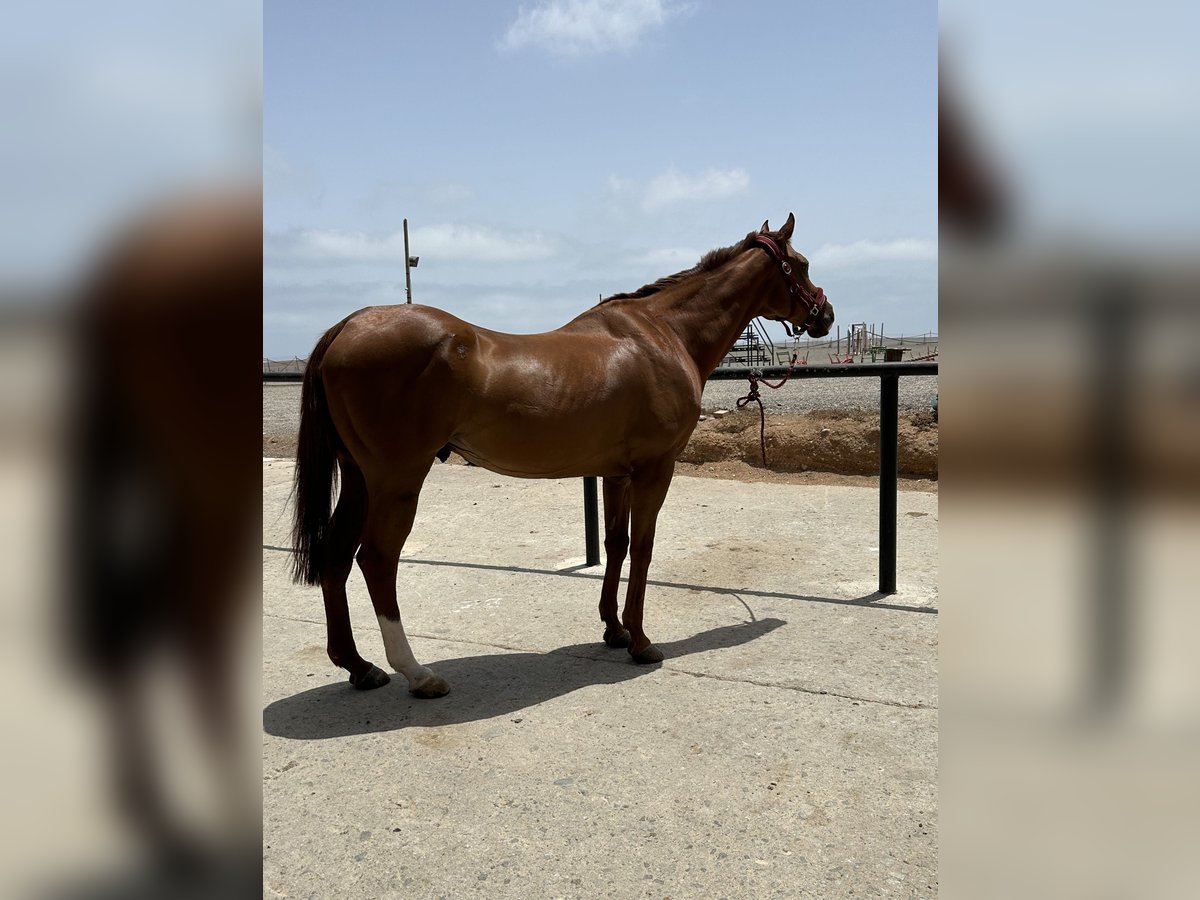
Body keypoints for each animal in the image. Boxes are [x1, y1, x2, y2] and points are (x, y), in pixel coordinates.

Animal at [291, 217, 835, 696]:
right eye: (802, 264)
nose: (825, 314)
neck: (663, 334)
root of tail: (348, 326)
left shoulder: (617, 474)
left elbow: (616, 545)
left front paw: (613, 630)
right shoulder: (655, 470)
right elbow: (643, 548)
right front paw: (640, 642)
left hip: (360, 479)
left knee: (335, 556)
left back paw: (359, 667)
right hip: (396, 480)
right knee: (377, 560)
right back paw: (418, 674)